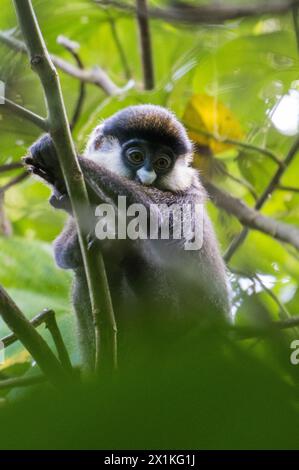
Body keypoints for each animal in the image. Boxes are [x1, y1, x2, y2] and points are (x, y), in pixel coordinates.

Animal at [25, 105, 232, 368]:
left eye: (162, 162)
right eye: (136, 156)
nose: (147, 178)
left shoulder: (189, 193)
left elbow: (155, 215)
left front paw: (71, 164)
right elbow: (63, 254)